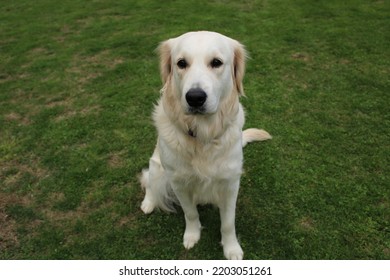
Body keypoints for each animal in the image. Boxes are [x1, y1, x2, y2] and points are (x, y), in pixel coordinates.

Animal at [140, 31, 272, 260]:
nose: (195, 98)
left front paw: (231, 249)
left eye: (216, 62)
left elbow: (228, 223)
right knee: (149, 181)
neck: (202, 134)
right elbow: (190, 213)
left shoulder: (230, 184)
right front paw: (192, 236)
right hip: (158, 166)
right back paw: (148, 203)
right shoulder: (178, 182)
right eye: (181, 63)